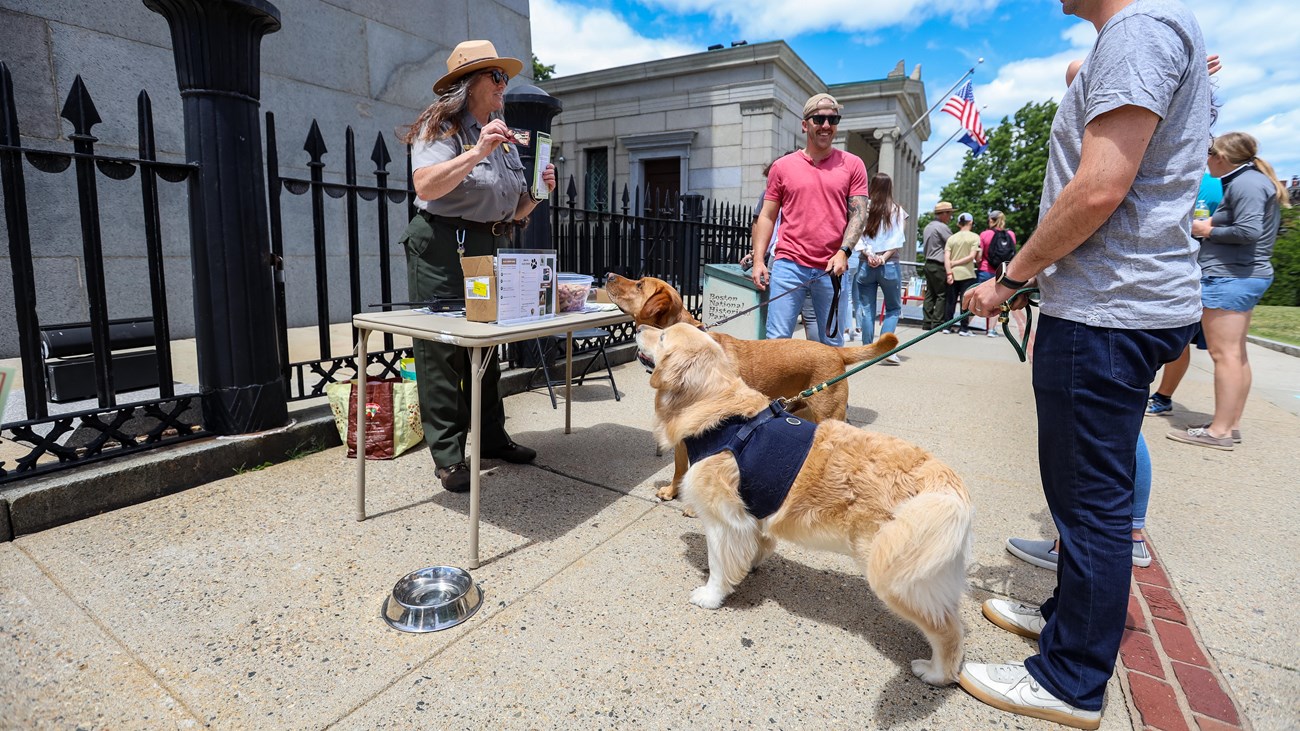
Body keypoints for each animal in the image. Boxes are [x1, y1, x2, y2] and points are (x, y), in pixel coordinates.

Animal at [605, 271, 894, 499]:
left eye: (639, 284)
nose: (607, 275)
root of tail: (836, 352)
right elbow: (679, 467)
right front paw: (673, 491)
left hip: (829, 413)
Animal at [639, 322, 977, 681]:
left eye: (663, 336)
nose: (640, 327)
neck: (721, 413)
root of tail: (946, 482)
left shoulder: (723, 519)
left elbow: (718, 563)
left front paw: (711, 595)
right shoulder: (753, 512)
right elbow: (756, 544)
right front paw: (751, 563)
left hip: (897, 574)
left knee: (948, 630)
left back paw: (936, 672)